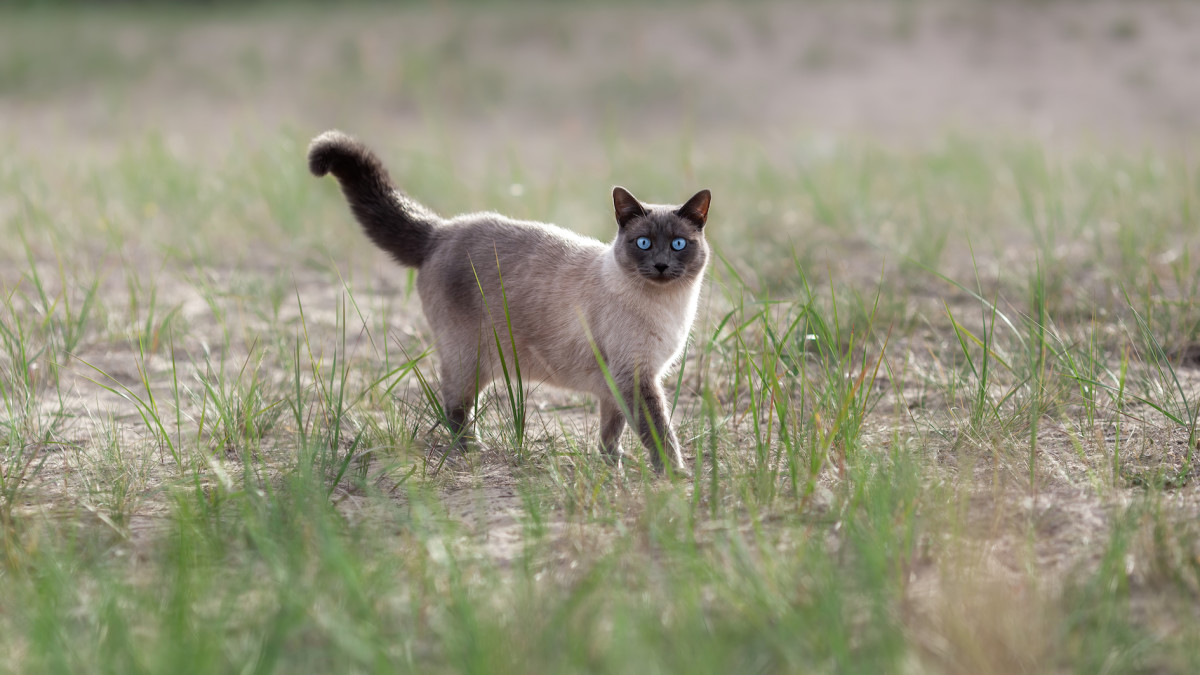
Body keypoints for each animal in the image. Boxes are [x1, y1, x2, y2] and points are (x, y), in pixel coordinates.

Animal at [304, 128, 710, 470]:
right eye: (643, 243)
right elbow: (658, 432)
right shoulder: (637, 377)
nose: (661, 265)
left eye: (678, 244)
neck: (669, 307)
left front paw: (613, 467)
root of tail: (440, 231)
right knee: (453, 406)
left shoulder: (620, 384)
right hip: (469, 358)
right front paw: (675, 475)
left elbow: (613, 432)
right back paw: (472, 449)